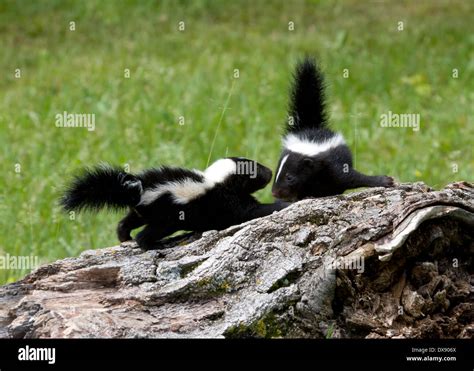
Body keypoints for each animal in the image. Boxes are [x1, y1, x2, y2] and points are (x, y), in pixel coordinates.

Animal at [60, 157, 286, 250]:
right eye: (254, 171)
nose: (269, 172)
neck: (216, 181)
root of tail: (139, 186)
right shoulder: (226, 199)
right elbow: (249, 211)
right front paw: (281, 205)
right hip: (167, 217)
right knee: (148, 233)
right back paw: (153, 245)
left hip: (143, 212)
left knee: (126, 222)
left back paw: (125, 237)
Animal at [272, 58, 394, 202]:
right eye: (276, 174)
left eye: (289, 177)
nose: (275, 193)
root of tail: (310, 126)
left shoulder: (333, 165)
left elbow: (352, 177)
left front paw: (384, 180)